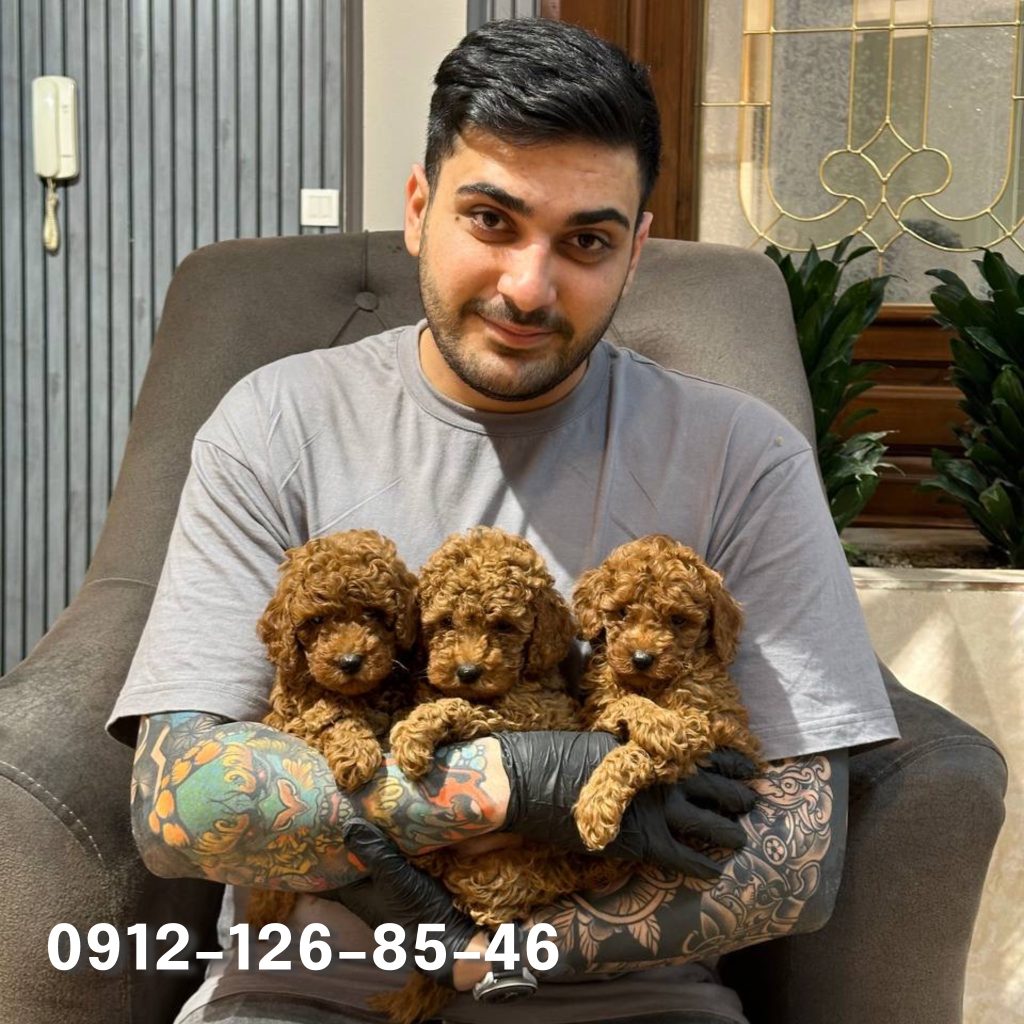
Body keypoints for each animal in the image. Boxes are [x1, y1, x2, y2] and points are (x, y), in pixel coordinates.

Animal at [245, 532, 417, 933]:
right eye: (317, 620)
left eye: (373, 613)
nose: (350, 662)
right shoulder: (293, 722)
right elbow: (330, 716)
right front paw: (355, 752)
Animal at [374, 528, 614, 1024]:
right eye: (445, 621)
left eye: (503, 626)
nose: (467, 671)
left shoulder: (537, 712)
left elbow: (468, 708)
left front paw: (414, 731)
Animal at [577, 532, 761, 851]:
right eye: (622, 612)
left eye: (678, 620)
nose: (641, 659)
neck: (651, 685)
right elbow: (622, 705)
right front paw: (654, 721)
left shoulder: (700, 724)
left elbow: (635, 751)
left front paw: (595, 805)